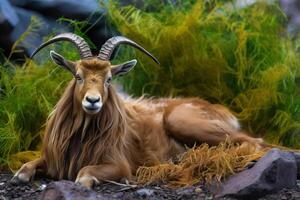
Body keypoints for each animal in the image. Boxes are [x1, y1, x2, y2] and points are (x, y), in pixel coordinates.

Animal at [11, 32, 264, 188]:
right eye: (78, 76)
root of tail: (220, 110)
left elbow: (83, 175)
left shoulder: (117, 163)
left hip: (182, 121)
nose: (92, 101)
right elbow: (24, 169)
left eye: (109, 79)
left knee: (255, 141)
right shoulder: (53, 157)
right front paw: (19, 175)